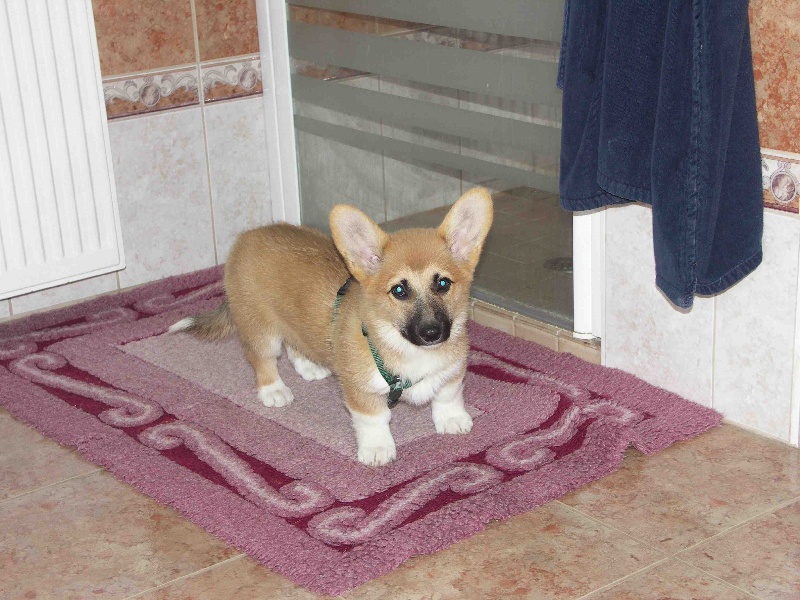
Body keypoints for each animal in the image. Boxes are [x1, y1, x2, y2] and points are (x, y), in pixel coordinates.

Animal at [170, 187, 493, 466]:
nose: (432, 333)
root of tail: (246, 237)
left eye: (443, 284)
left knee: (296, 341)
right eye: (399, 291)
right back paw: (274, 390)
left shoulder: (452, 372)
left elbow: (448, 395)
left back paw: (310, 366)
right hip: (260, 327)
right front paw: (378, 449)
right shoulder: (360, 390)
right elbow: (374, 419)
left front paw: (452, 420)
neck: (408, 349)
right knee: (262, 358)